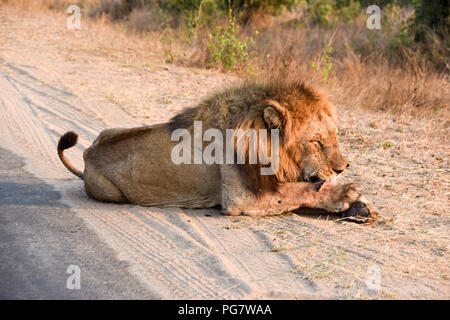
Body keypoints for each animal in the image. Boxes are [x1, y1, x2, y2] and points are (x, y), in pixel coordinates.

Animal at [58, 80, 378, 224]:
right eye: (315, 141)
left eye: (335, 135)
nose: (342, 168)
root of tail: (86, 156)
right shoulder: (241, 198)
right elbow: (297, 192)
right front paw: (347, 193)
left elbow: (301, 192)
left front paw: (361, 209)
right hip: (108, 192)